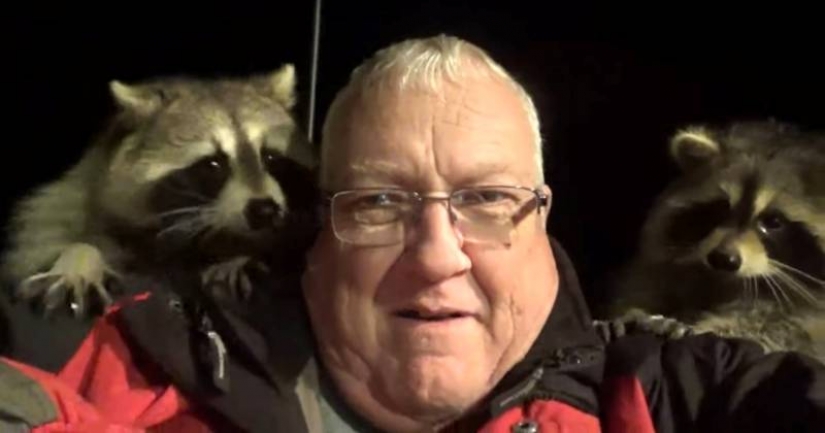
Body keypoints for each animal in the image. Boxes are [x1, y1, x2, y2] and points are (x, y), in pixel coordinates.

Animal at [0, 64, 319, 318]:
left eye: (271, 157)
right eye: (213, 164)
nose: (265, 210)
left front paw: (245, 255)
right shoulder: (76, 198)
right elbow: (46, 239)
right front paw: (79, 258)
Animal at [607, 119, 825, 362]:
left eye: (773, 221)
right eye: (722, 207)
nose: (723, 258)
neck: (728, 282)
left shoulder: (810, 324)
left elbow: (780, 333)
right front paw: (633, 314)